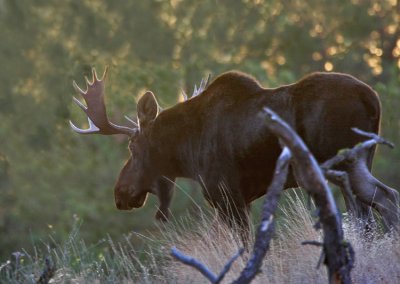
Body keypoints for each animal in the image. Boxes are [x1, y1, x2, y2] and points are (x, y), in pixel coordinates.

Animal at [70, 67, 398, 232]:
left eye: (133, 146)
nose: (120, 194)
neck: (187, 153)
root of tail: (373, 99)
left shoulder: (227, 195)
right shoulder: (241, 199)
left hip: (344, 161)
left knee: (384, 199)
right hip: (357, 162)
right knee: (368, 211)